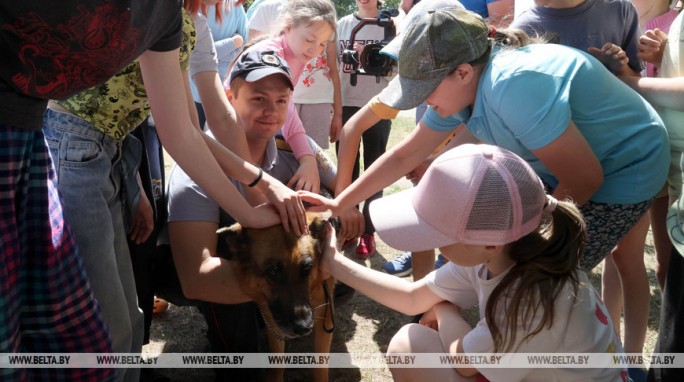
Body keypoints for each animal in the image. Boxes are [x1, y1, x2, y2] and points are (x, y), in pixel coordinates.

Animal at [216, 213, 334, 380]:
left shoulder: (326, 315)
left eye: (307, 267)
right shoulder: (272, 318)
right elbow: (277, 362)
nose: (304, 327)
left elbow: (320, 367)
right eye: (273, 270)